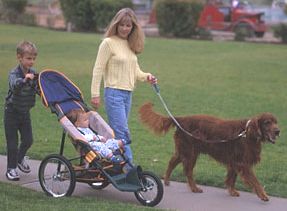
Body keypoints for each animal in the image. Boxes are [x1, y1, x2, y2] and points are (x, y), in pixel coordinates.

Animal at [140, 102, 282, 201]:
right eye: (267, 122)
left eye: (276, 122)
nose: (278, 131)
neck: (247, 133)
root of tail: (181, 119)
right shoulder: (243, 163)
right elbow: (255, 181)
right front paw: (263, 195)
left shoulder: (234, 161)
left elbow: (232, 178)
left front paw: (232, 191)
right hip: (190, 152)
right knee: (188, 171)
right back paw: (194, 188)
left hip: (185, 151)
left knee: (173, 161)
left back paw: (167, 180)